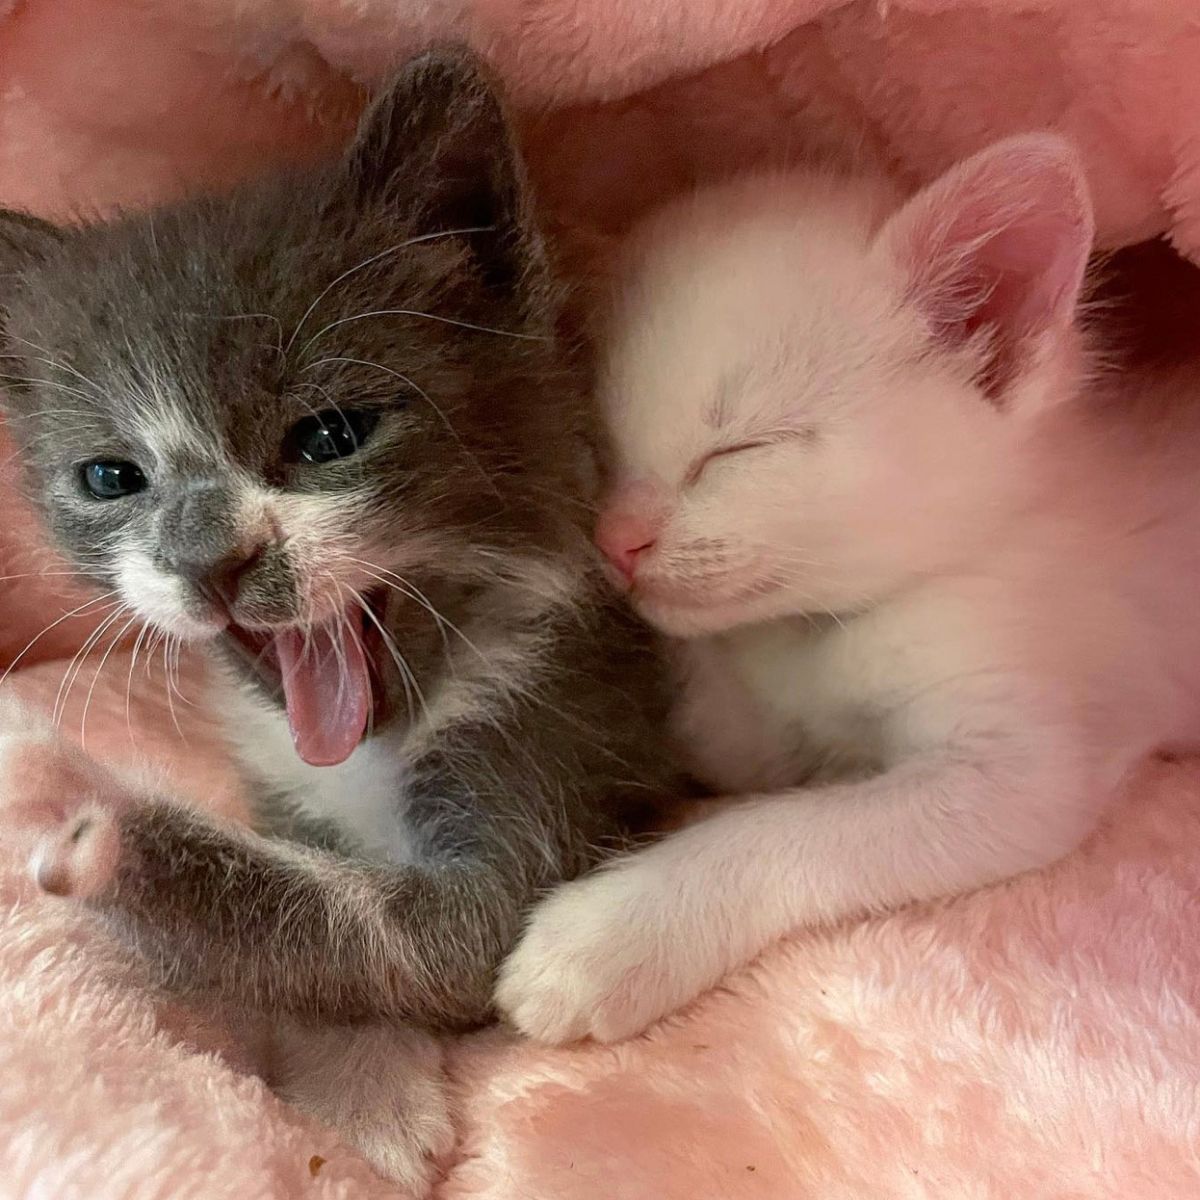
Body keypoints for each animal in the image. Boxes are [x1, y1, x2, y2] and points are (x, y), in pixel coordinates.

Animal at [0, 49, 681, 1180]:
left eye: (328, 436)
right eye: (109, 477)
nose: (208, 559)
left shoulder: (545, 749)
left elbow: (388, 934)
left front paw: (69, 790)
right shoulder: (286, 790)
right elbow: (327, 914)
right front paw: (362, 1087)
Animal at [496, 136, 1200, 1046]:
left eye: (739, 449)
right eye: (604, 445)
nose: (618, 539)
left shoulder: (1026, 763)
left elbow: (796, 829)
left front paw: (612, 935)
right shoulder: (763, 721)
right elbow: (726, 736)